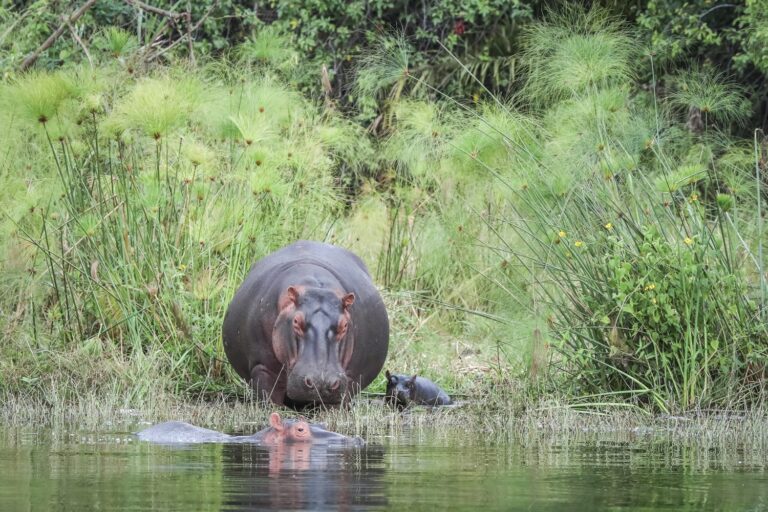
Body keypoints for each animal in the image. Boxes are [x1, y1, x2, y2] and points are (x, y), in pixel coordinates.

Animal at [222, 240, 390, 408]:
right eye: (296, 321)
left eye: (344, 326)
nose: (320, 382)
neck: (316, 287)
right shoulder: (263, 367)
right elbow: (269, 397)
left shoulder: (350, 376)